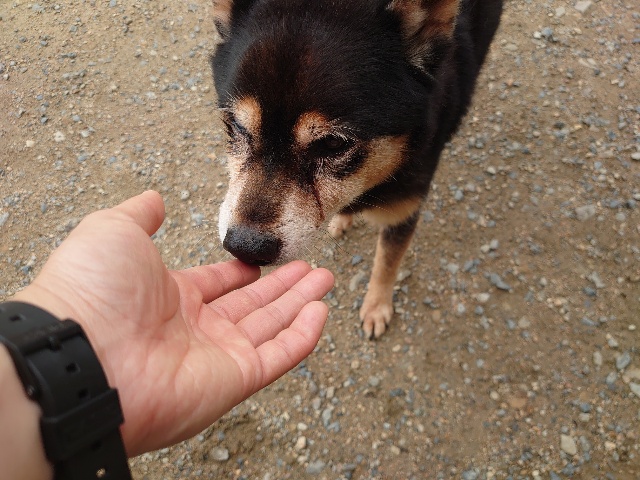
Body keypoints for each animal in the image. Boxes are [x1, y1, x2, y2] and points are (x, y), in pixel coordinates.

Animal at [211, 0, 503, 339]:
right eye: (235, 123)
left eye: (333, 144)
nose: (244, 247)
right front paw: (343, 218)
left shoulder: (403, 211)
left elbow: (386, 264)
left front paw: (376, 307)